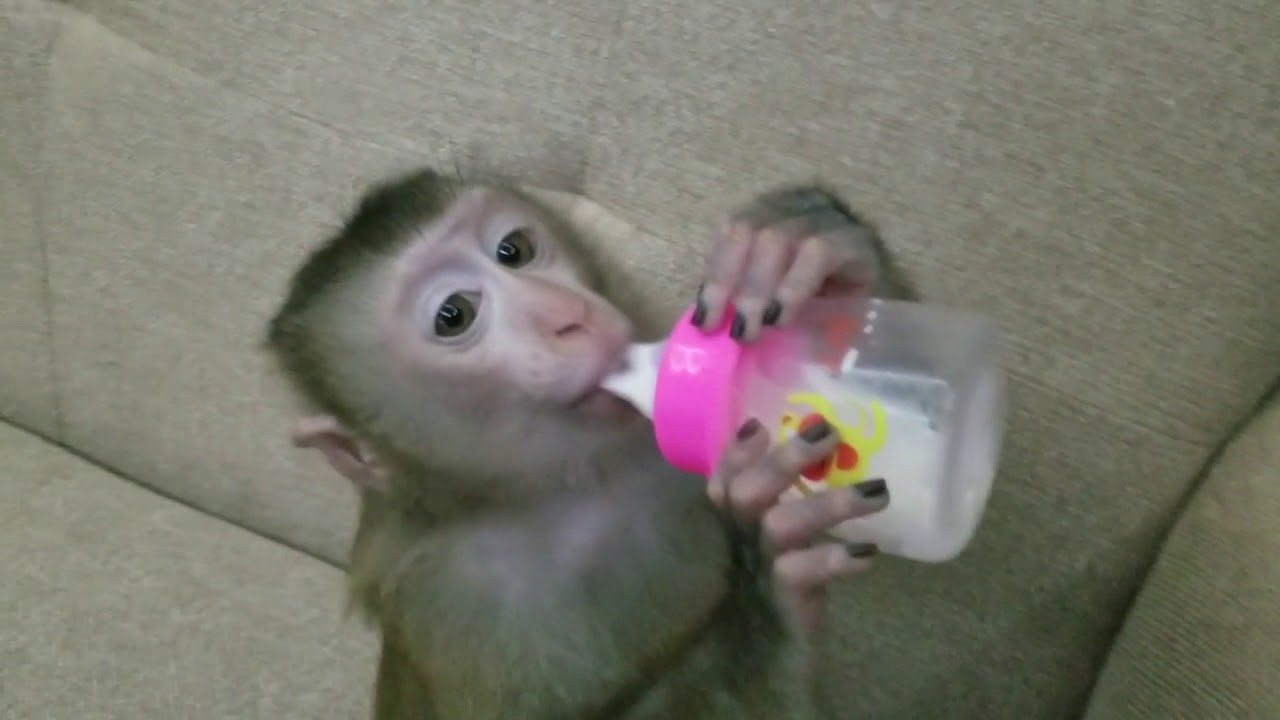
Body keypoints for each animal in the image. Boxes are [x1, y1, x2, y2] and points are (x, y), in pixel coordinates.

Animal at [264, 167, 899, 719]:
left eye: (514, 250)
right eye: (454, 315)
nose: (568, 316)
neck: (573, 487)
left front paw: (813, 246)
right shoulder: (463, 609)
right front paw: (772, 594)